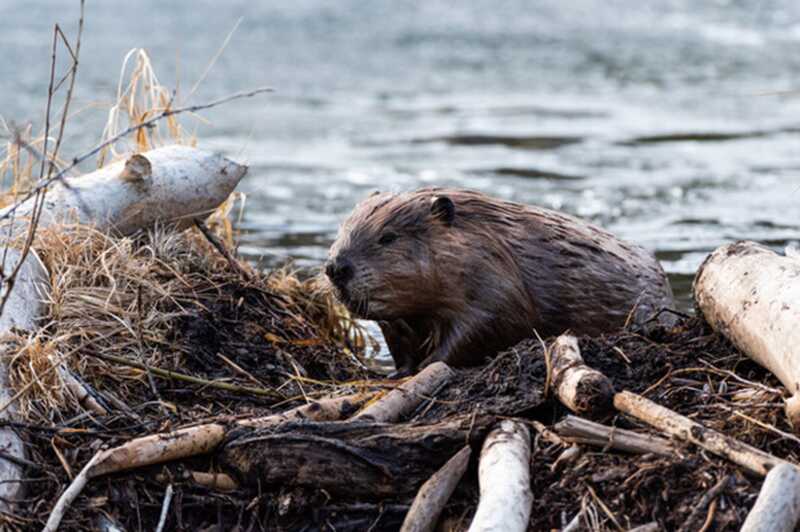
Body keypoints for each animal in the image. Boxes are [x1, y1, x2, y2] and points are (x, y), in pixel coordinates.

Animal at [324, 187, 676, 374]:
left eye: (388, 237)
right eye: (342, 229)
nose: (336, 267)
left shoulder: (496, 287)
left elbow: (478, 330)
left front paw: (428, 366)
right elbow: (400, 340)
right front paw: (398, 372)